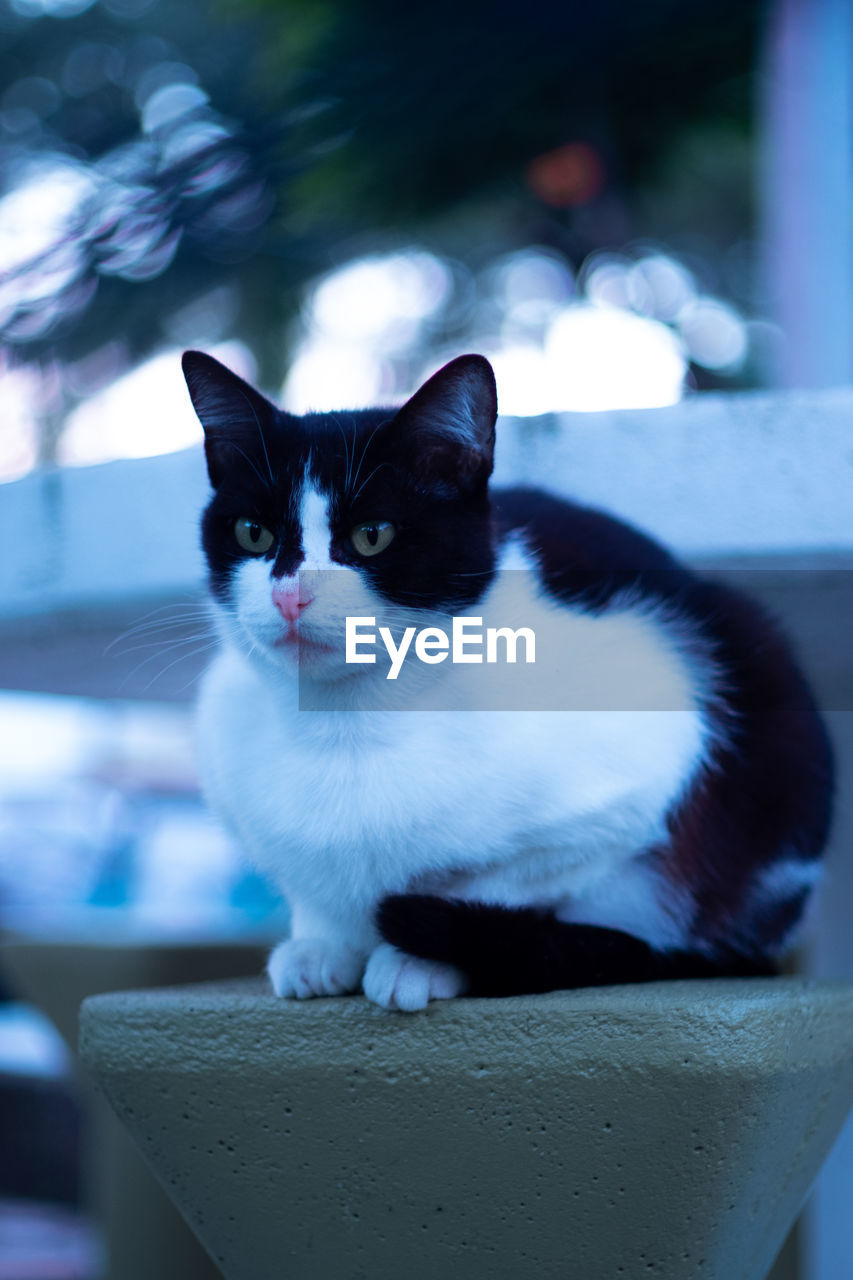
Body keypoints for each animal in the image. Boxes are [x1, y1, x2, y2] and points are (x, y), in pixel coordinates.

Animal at [180, 348, 829, 1008]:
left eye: (372, 536)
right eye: (253, 532)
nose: (290, 597)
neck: (347, 723)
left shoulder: (630, 786)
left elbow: (498, 879)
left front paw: (419, 955)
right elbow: (309, 882)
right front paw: (322, 944)